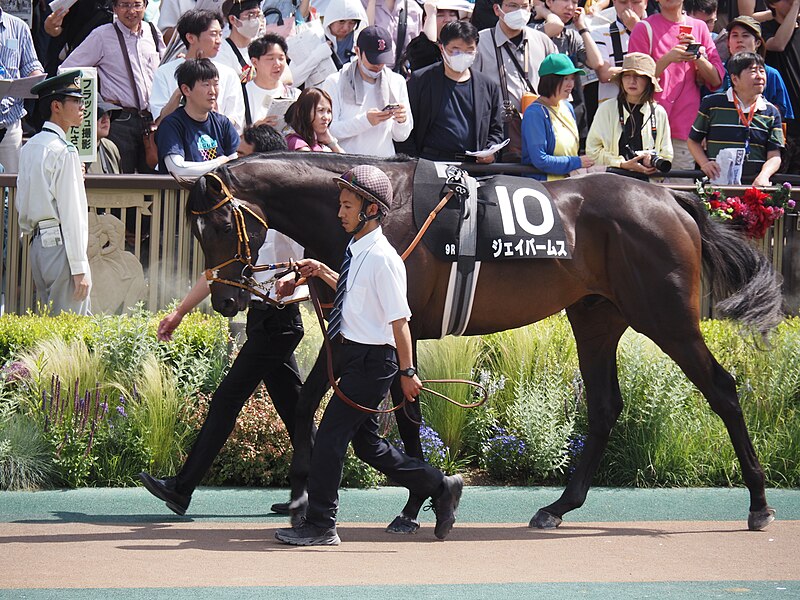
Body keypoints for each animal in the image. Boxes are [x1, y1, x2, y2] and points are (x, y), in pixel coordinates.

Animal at [186, 152, 780, 532]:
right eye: (197, 231)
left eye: (219, 226)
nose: (225, 300)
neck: (382, 215)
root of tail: (672, 201)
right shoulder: (368, 333)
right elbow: (348, 404)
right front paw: (376, 499)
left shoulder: (397, 327)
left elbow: (395, 413)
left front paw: (382, 500)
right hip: (595, 317)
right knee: (606, 405)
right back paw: (558, 506)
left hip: (666, 317)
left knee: (723, 390)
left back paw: (758, 503)